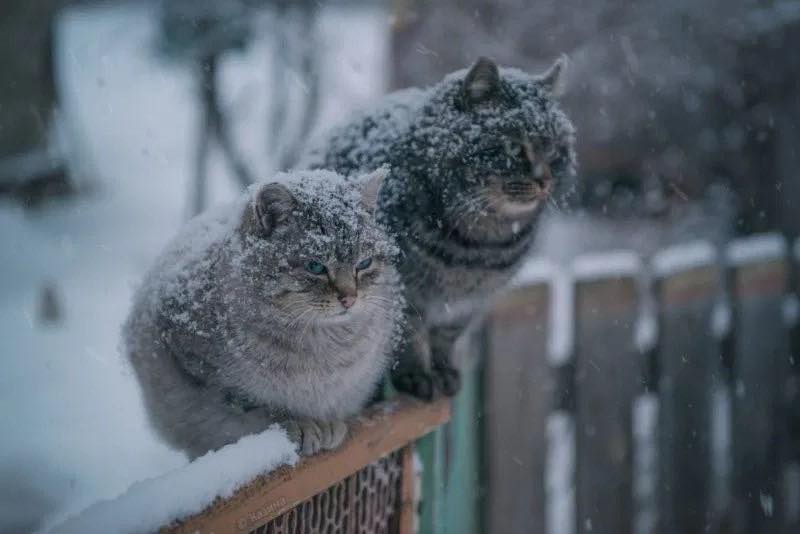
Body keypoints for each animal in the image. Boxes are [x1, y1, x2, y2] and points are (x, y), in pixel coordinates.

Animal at [125, 170, 406, 458]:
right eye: (315, 266)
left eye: (364, 263)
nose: (349, 298)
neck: (321, 344)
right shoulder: (199, 366)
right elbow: (256, 406)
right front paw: (300, 423)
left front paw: (326, 424)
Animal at [304, 57, 580, 402]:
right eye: (515, 148)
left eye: (556, 150)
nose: (545, 181)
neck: (479, 247)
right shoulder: (404, 293)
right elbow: (409, 338)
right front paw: (417, 376)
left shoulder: (468, 304)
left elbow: (446, 338)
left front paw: (444, 373)